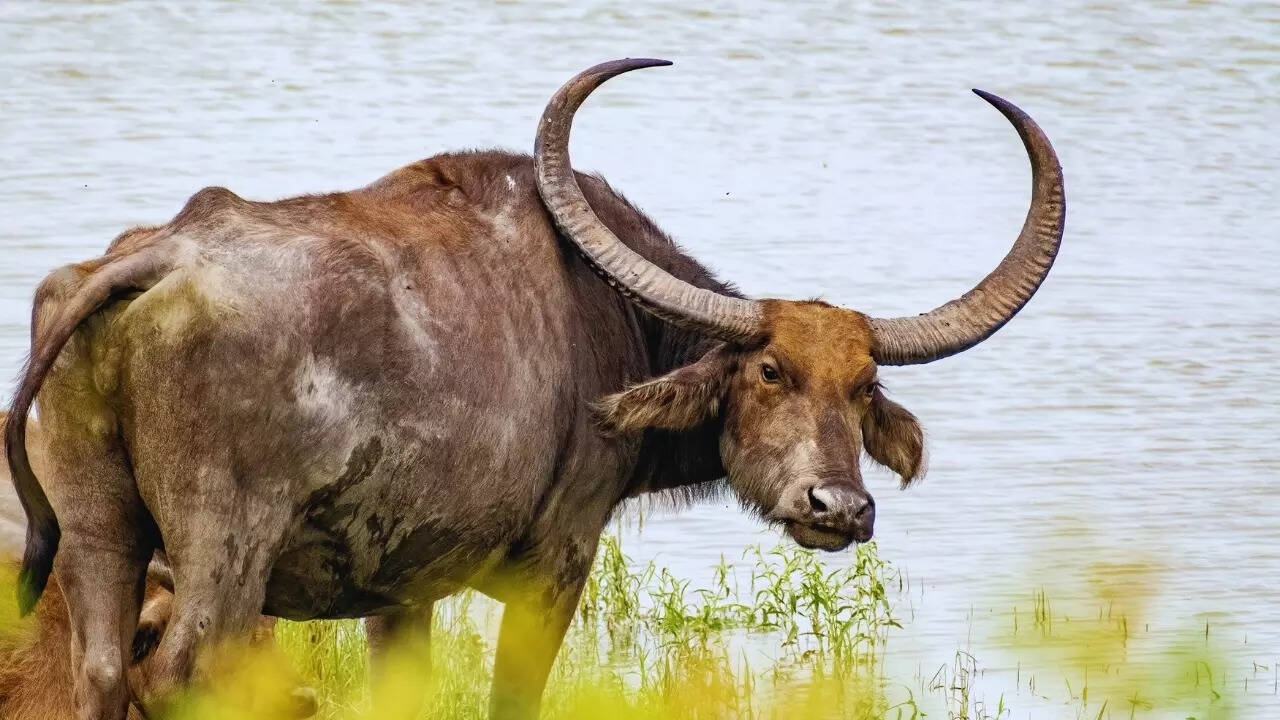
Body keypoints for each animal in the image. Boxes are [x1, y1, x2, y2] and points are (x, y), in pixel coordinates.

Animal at [5, 59, 1064, 719]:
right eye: (771, 370)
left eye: (865, 384)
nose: (837, 507)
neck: (608, 322)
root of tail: (153, 259)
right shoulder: (558, 560)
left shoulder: (402, 590)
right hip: (224, 552)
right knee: (179, 672)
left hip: (99, 533)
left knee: (100, 672)